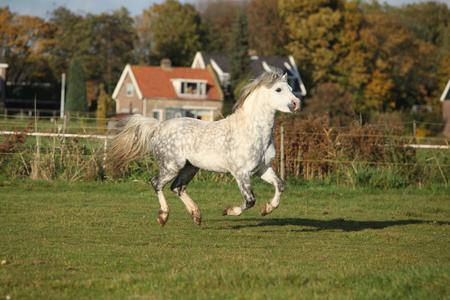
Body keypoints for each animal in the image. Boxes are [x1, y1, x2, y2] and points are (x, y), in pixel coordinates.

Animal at [107, 69, 300, 226]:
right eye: (278, 89)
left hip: (190, 167)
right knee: (157, 183)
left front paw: (267, 209)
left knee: (177, 188)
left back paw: (196, 215)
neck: (253, 132)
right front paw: (229, 211)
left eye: (291, 88)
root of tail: (158, 126)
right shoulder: (241, 173)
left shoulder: (263, 169)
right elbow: (250, 200)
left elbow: (280, 185)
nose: (297, 104)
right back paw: (163, 216)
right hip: (171, 166)